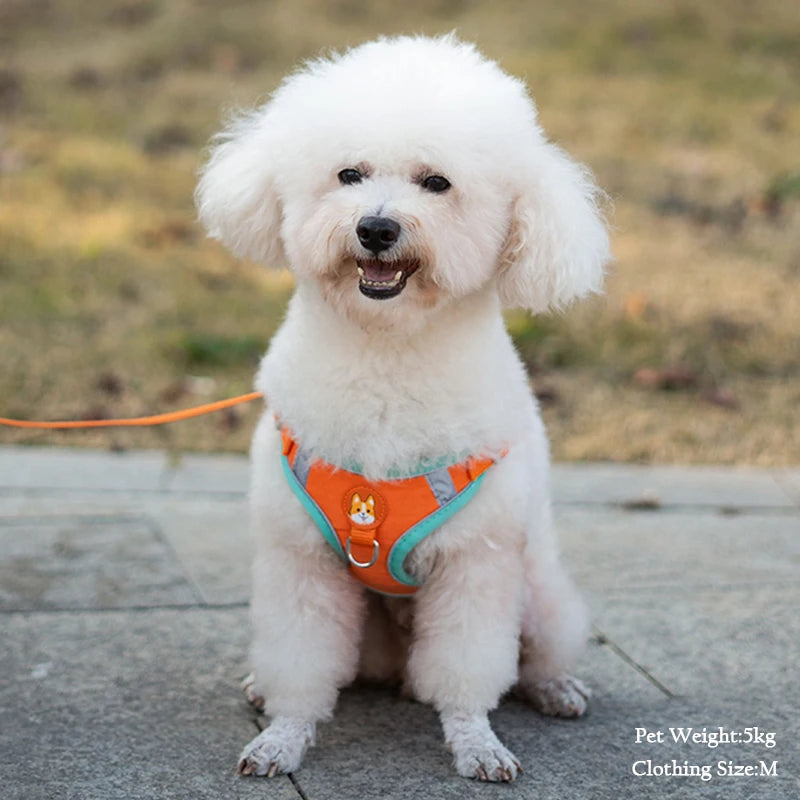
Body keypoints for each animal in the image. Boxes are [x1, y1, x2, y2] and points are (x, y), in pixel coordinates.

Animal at [197, 34, 608, 784]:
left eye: (437, 183)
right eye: (348, 174)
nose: (377, 227)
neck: (388, 353)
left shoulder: (477, 563)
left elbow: (470, 675)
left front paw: (477, 743)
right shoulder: (300, 561)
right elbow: (300, 668)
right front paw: (282, 738)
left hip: (539, 591)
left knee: (532, 656)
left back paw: (556, 689)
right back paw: (263, 688)